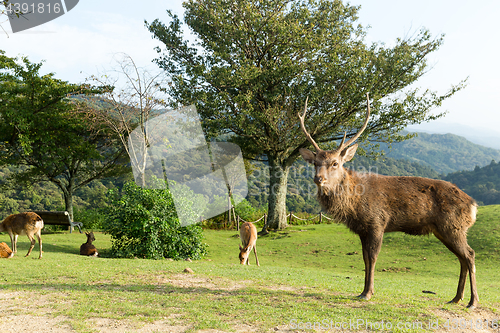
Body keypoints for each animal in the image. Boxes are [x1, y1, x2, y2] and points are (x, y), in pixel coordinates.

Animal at [298, 92, 478, 308]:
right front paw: (363, 291)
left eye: (335, 163)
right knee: (462, 258)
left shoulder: (377, 222)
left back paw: (472, 301)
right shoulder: (362, 229)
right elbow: (365, 258)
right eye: (315, 163)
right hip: (445, 230)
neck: (354, 204)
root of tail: (473, 205)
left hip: (453, 226)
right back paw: (456, 298)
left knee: (470, 255)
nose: (319, 179)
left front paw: (368, 293)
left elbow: (373, 257)